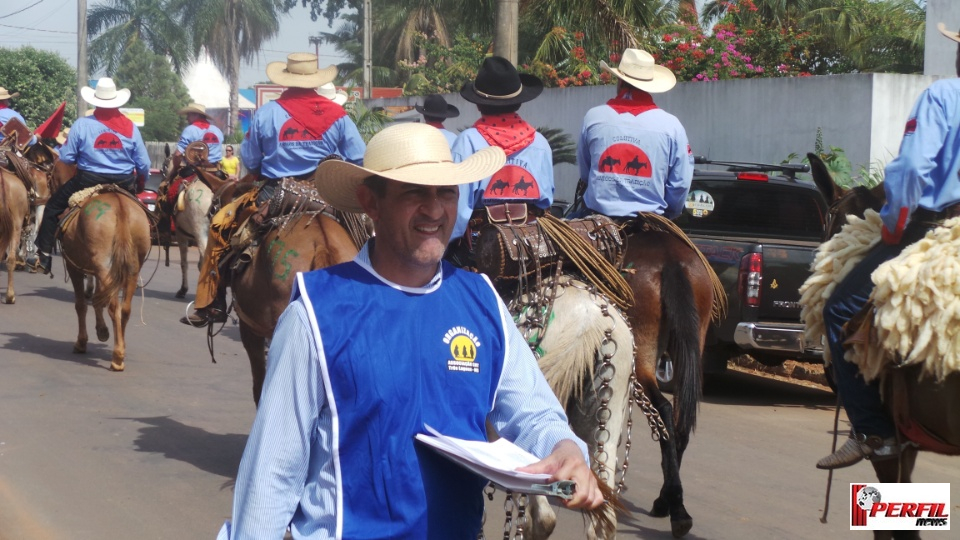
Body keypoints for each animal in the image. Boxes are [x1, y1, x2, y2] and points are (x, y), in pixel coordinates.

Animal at [52, 162, 153, 370]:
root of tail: (120, 207)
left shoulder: (74, 266)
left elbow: (81, 304)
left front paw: (82, 341)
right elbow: (98, 299)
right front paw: (102, 331)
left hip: (103, 265)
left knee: (113, 306)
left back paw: (117, 357)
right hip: (130, 266)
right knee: (124, 308)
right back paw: (121, 346)